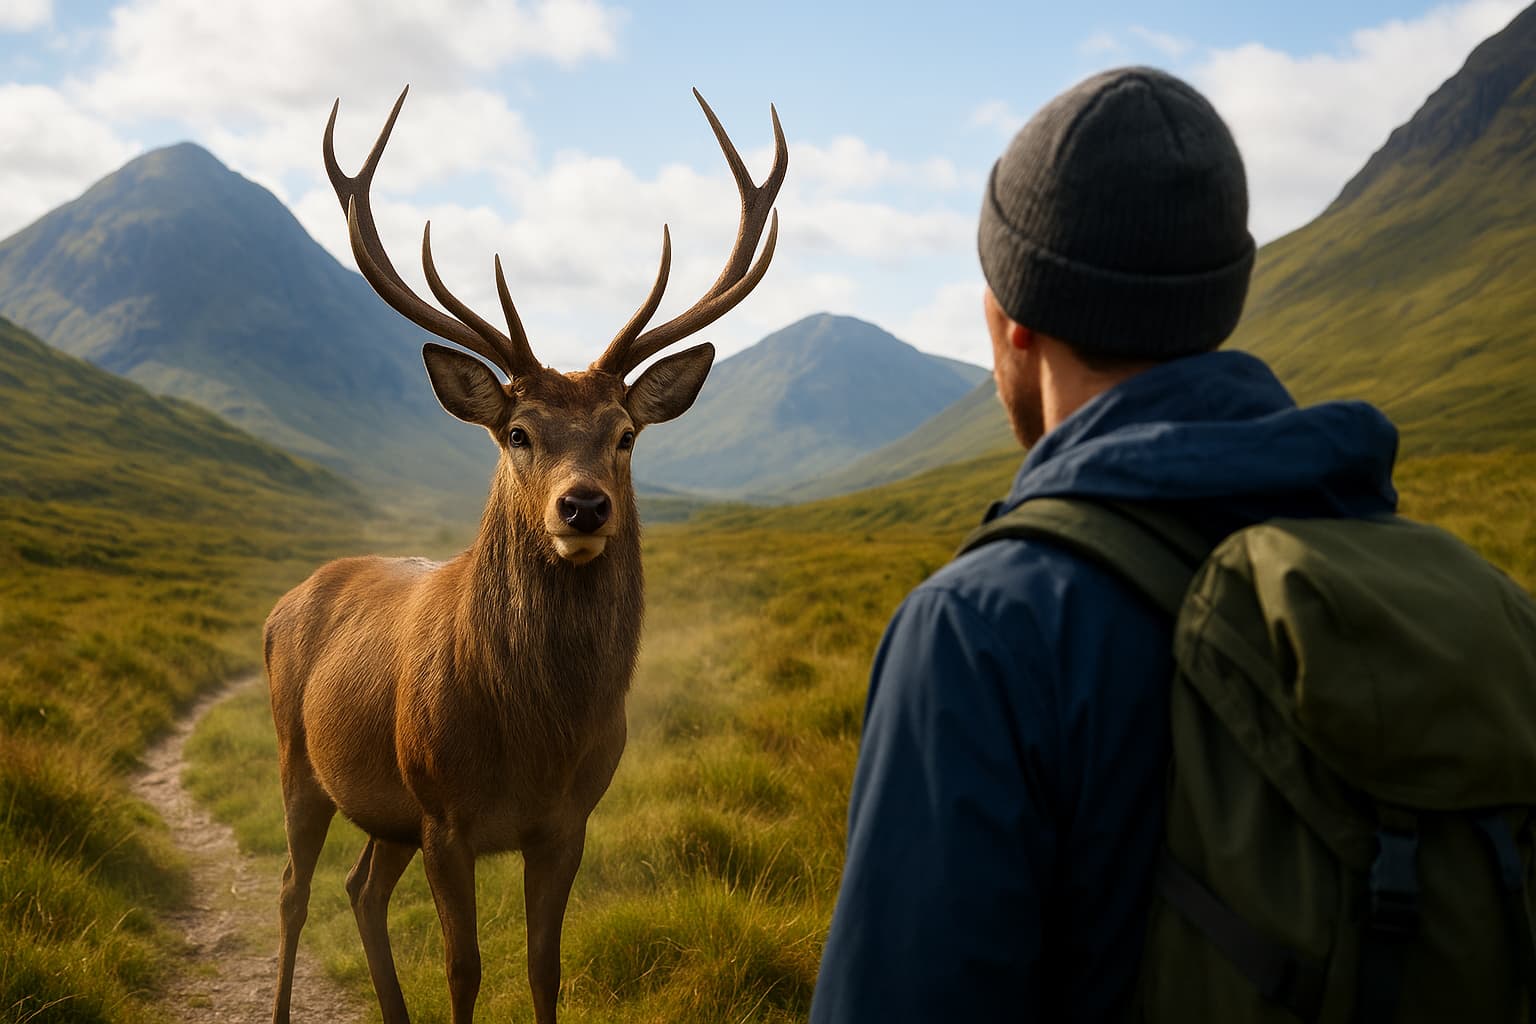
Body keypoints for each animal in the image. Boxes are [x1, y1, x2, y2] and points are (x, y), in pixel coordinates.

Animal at [262, 85, 786, 1024]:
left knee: (361, 887)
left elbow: (546, 968)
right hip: (300, 752)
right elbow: (464, 970)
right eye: (518, 432)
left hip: (385, 809)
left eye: (624, 433)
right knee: (293, 888)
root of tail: (284, 604)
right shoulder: (444, 816)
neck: (534, 740)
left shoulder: (568, 822)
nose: (583, 505)